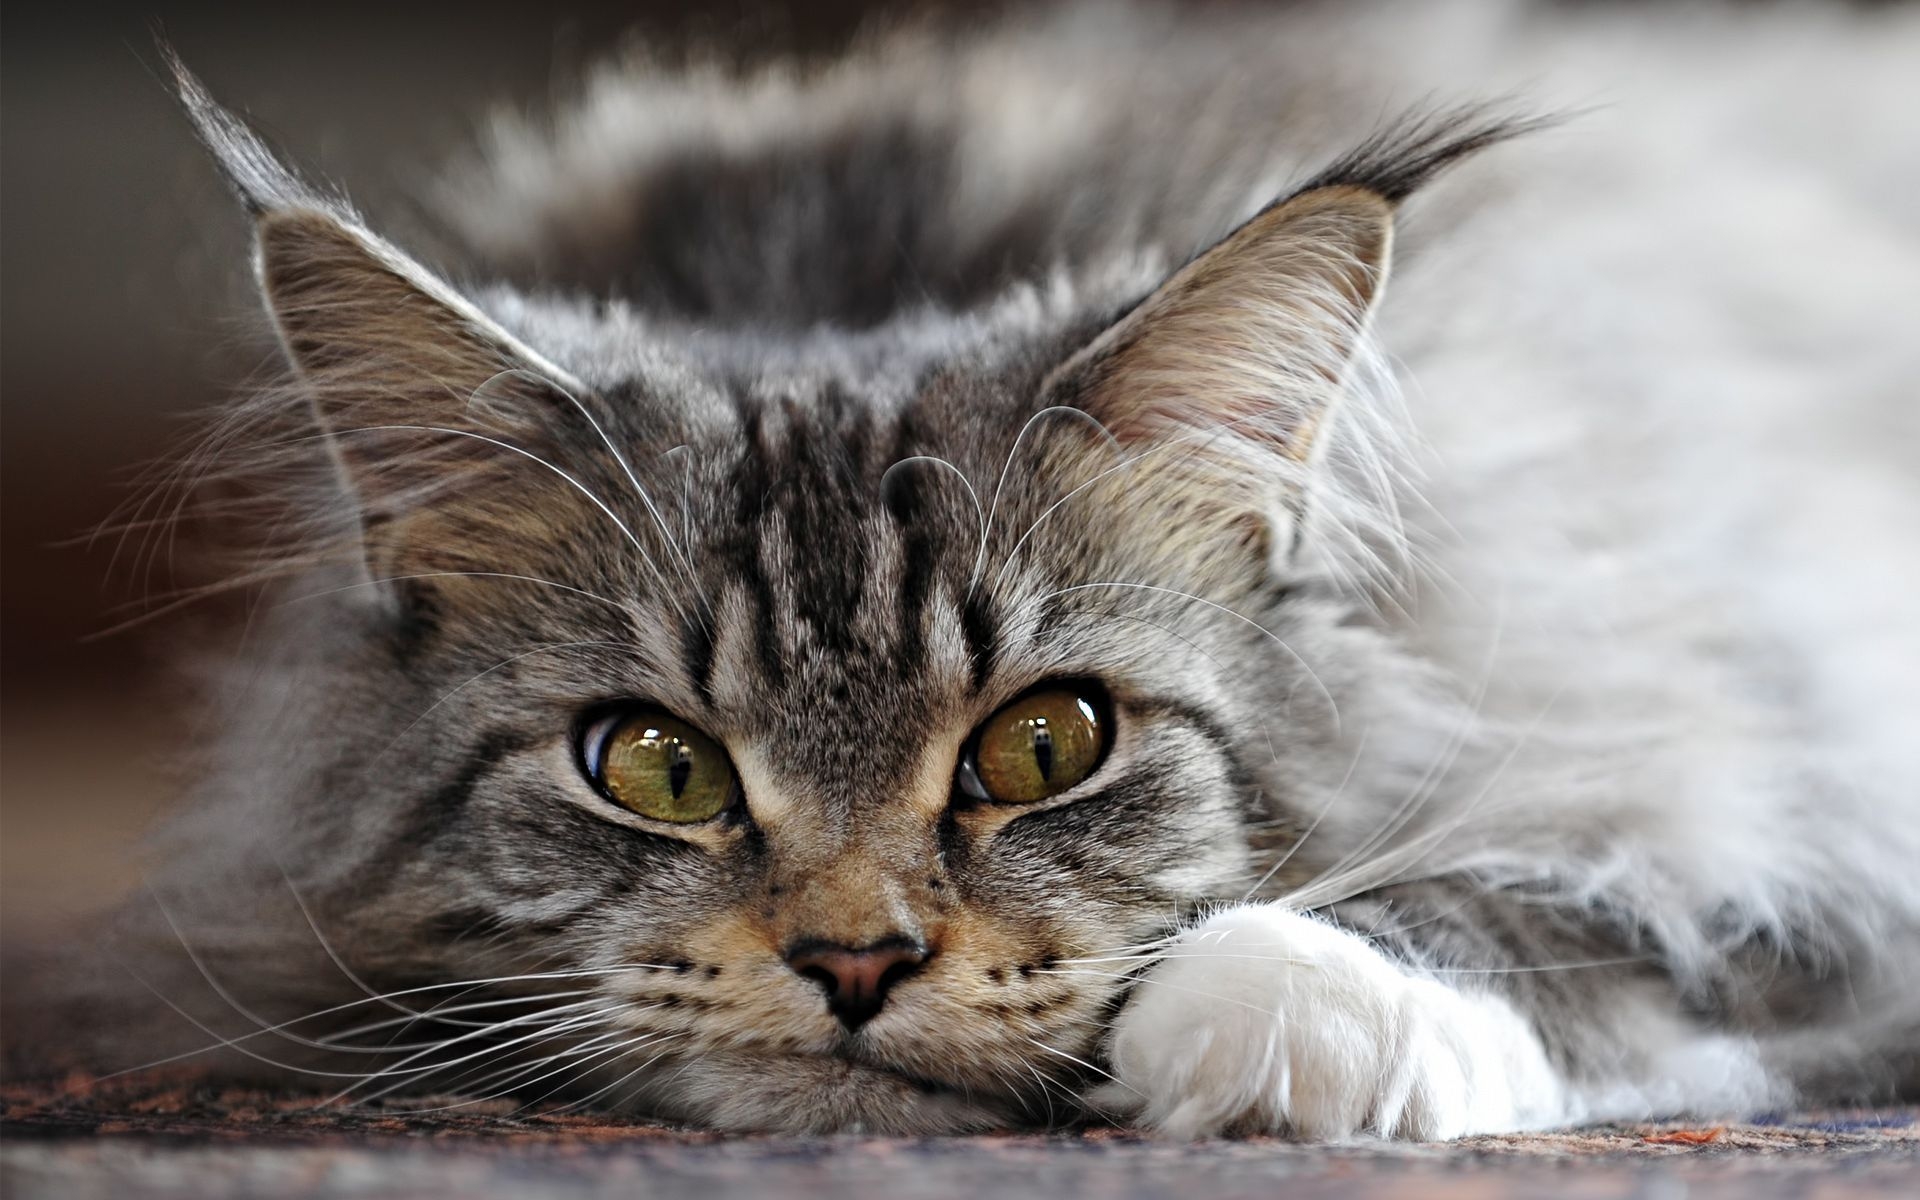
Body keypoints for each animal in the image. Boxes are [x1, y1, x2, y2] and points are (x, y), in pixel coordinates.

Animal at [18, 0, 1920, 1136]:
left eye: (1045, 744)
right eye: (656, 767)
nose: (855, 964)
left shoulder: (1789, 766)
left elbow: (1589, 911)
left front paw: (1285, 1017)